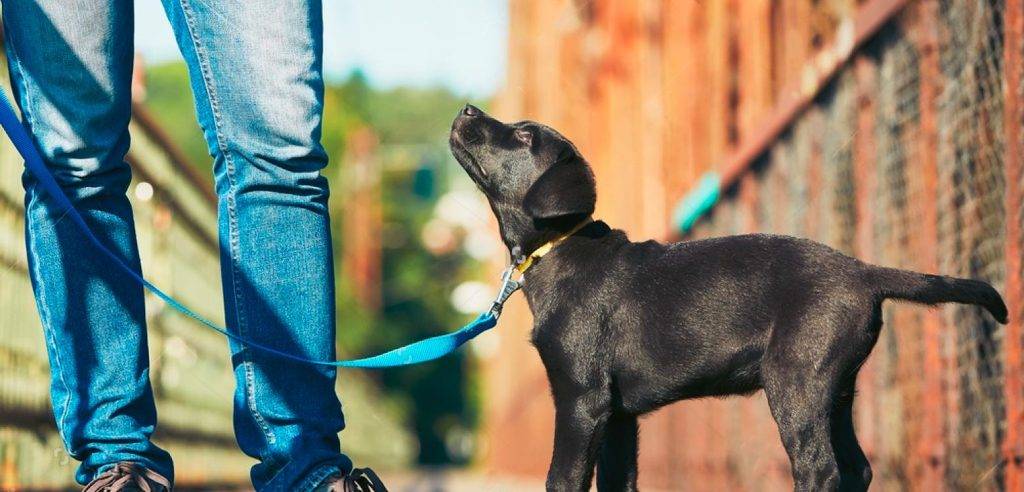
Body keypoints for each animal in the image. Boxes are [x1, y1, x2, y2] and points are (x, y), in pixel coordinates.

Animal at [450, 103, 1007, 487]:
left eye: (524, 135)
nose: (467, 109)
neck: (559, 246)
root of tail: (864, 272)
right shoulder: (618, 416)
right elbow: (617, 483)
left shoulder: (581, 399)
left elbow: (562, 479)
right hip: (837, 388)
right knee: (857, 470)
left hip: (795, 380)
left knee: (820, 470)